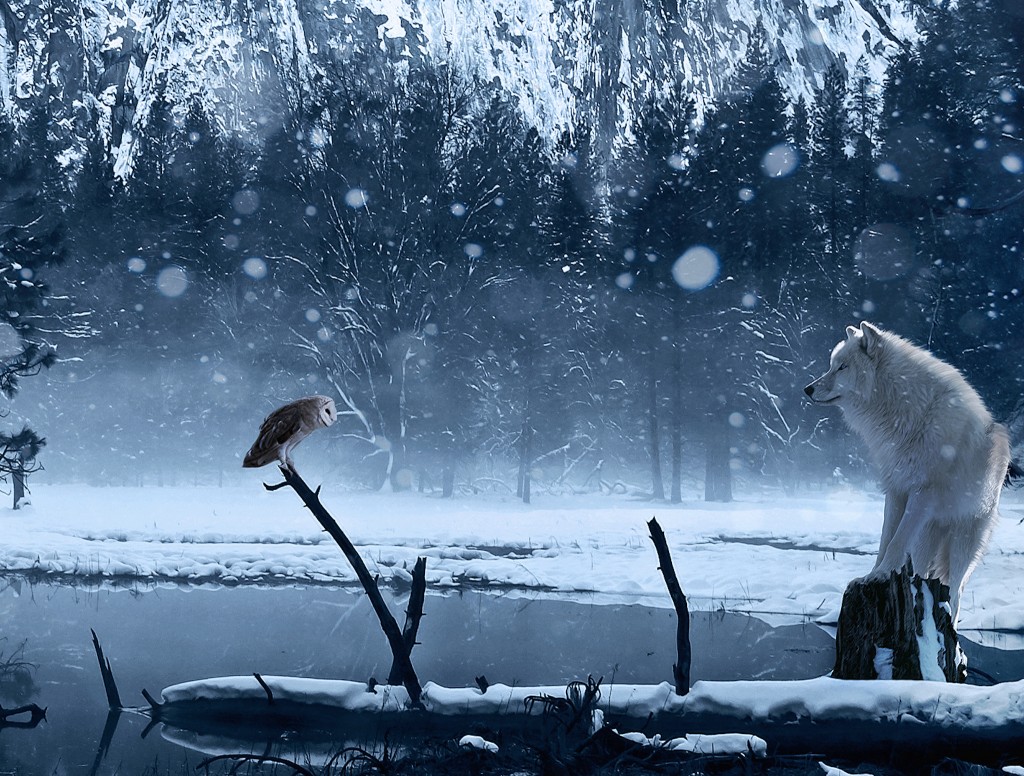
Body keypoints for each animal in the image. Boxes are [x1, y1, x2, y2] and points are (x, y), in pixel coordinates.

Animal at [805, 321, 1011, 623]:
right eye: (832, 365)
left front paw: (880, 574)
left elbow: (897, 541)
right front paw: (871, 575)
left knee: (956, 591)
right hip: (929, 535)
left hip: (963, 543)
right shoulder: (896, 490)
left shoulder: (922, 493)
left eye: (842, 367)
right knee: (925, 572)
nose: (807, 389)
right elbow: (885, 540)